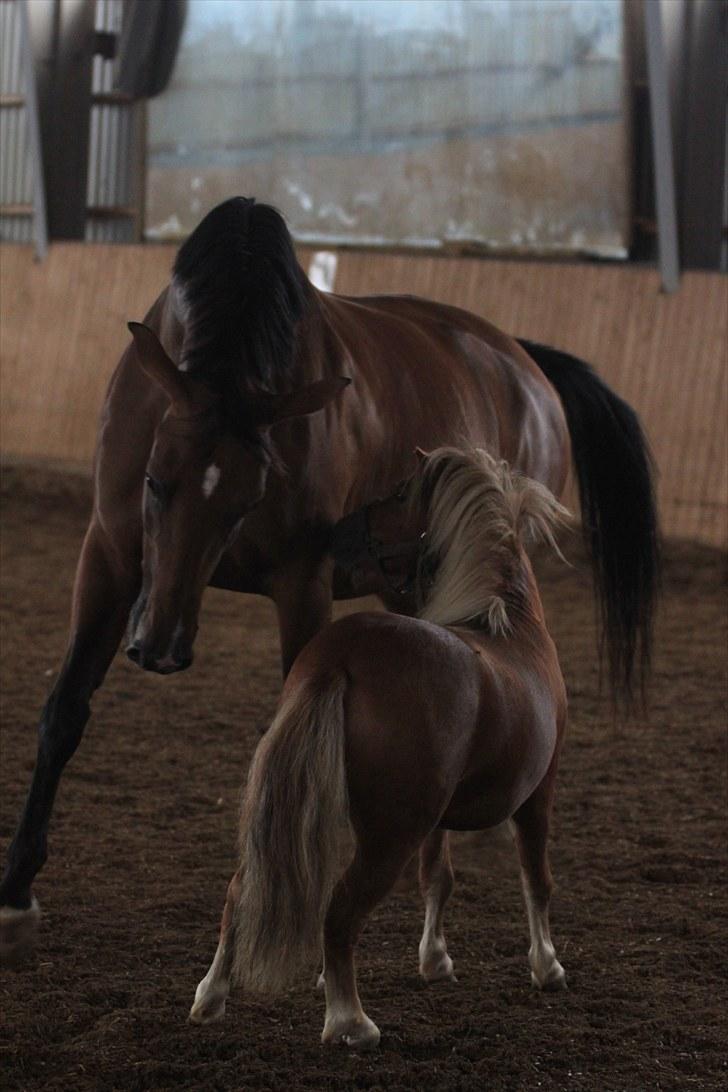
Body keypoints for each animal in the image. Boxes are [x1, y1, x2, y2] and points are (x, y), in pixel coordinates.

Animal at [0, 196, 659, 965]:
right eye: (155, 482)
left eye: (246, 501)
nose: (159, 645)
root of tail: (522, 361)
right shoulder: (108, 555)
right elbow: (64, 711)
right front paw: (15, 890)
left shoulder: (302, 583)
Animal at [191, 447, 571, 1043]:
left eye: (396, 493)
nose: (338, 534)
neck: (511, 627)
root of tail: (339, 655)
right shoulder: (538, 793)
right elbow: (537, 878)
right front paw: (547, 966)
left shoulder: (440, 818)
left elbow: (439, 877)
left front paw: (435, 960)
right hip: (391, 835)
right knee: (340, 912)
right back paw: (350, 1021)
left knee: (240, 893)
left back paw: (212, 996)